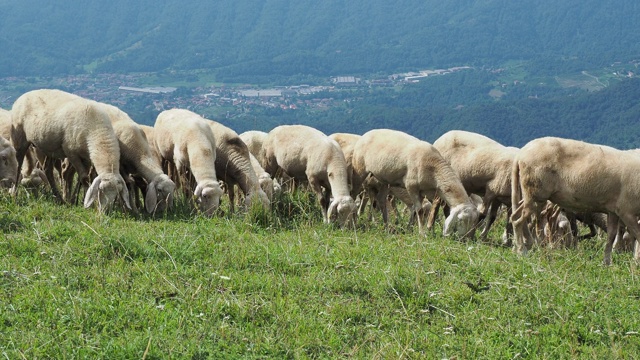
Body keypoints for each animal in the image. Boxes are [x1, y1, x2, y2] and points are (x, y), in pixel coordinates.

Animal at [350, 128, 480, 238]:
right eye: (462, 220)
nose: (465, 239)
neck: (434, 168)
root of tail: (367, 133)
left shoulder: (424, 191)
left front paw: (422, 230)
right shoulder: (412, 187)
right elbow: (420, 210)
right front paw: (422, 233)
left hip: (384, 180)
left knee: (381, 200)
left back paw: (387, 226)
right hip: (359, 169)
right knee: (354, 193)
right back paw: (353, 220)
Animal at [510, 136, 640, 266]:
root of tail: (521, 154)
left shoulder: (613, 210)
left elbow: (611, 236)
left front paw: (607, 263)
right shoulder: (626, 211)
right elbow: (638, 235)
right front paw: (636, 261)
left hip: (531, 195)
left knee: (516, 215)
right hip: (536, 192)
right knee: (517, 220)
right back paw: (522, 252)